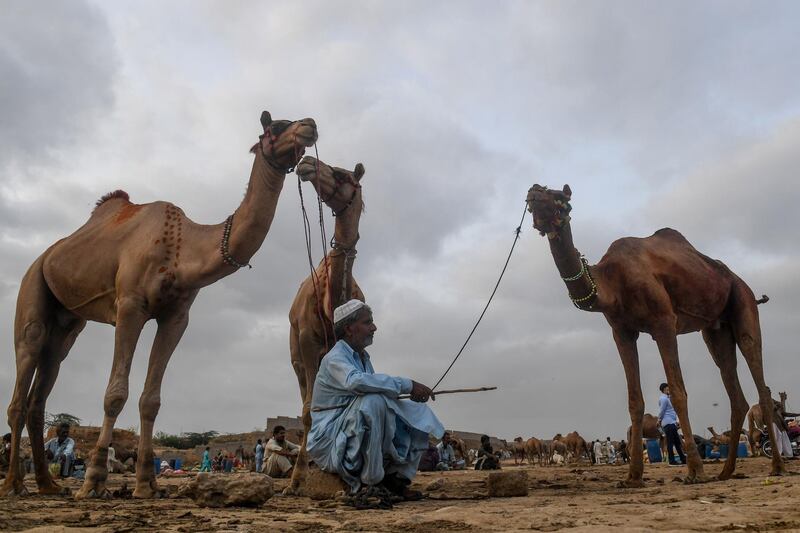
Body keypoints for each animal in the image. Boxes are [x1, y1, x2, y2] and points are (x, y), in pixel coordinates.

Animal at [528, 184, 784, 486]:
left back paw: (776, 466)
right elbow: (634, 400)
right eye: (540, 190)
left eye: (560, 198)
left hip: (742, 301)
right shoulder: (622, 332)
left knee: (758, 374)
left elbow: (678, 391)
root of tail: (744, 285)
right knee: (732, 383)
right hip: (715, 330)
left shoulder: (664, 323)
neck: (610, 282)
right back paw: (726, 471)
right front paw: (633, 477)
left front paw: (695, 471)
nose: (533, 192)